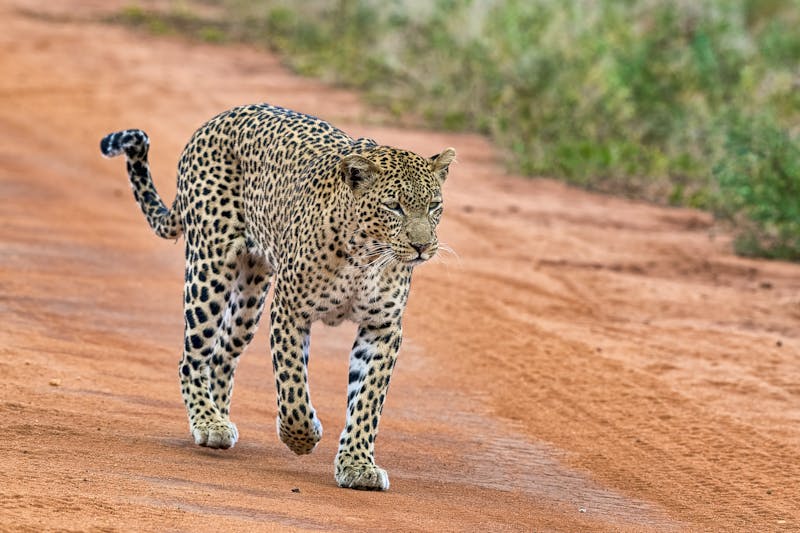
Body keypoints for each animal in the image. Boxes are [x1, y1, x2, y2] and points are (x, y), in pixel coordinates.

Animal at [100, 103, 455, 491]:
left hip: (250, 297)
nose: (422, 246)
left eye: (434, 205)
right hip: (209, 269)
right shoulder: (290, 309)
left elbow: (367, 400)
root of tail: (216, 119)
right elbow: (292, 385)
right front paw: (303, 436)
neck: (366, 254)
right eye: (394, 206)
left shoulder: (382, 326)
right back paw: (207, 422)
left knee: (221, 355)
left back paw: (219, 418)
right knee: (192, 357)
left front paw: (358, 465)